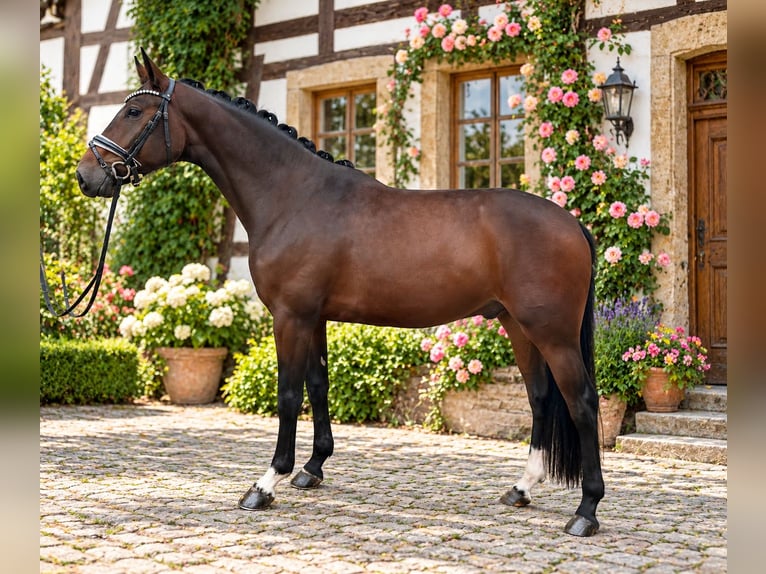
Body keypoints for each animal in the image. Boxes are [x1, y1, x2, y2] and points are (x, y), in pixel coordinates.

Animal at [75, 50, 603, 537]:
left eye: (134, 112)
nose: (86, 175)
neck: (293, 196)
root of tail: (572, 223)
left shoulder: (290, 316)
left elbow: (288, 393)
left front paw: (266, 483)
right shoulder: (314, 317)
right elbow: (318, 384)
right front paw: (311, 469)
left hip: (551, 332)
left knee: (581, 402)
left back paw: (586, 511)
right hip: (518, 325)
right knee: (540, 397)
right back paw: (522, 488)